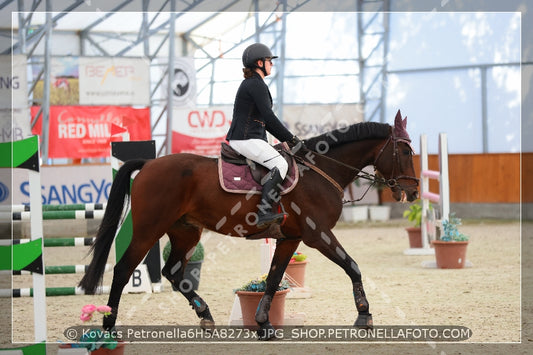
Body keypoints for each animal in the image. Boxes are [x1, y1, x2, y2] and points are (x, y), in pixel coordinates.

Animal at [80, 110, 420, 340]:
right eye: (405, 151)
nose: (414, 192)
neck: (320, 169)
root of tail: (149, 163)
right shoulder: (318, 234)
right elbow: (353, 267)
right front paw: (364, 315)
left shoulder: (291, 238)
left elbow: (273, 279)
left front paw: (264, 324)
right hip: (149, 229)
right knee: (124, 270)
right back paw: (109, 328)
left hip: (186, 231)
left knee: (173, 271)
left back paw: (205, 315)